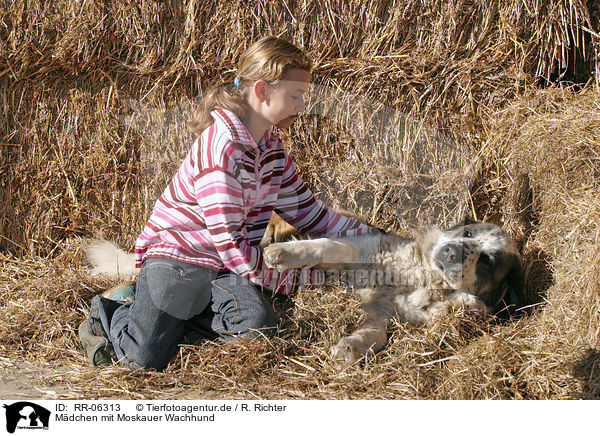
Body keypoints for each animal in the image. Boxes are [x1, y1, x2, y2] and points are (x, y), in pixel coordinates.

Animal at [264, 218, 524, 364]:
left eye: (488, 260)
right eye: (468, 233)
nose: (452, 253)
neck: (421, 275)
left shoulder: (384, 312)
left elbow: (377, 334)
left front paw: (350, 348)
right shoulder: (361, 250)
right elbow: (327, 246)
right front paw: (281, 253)